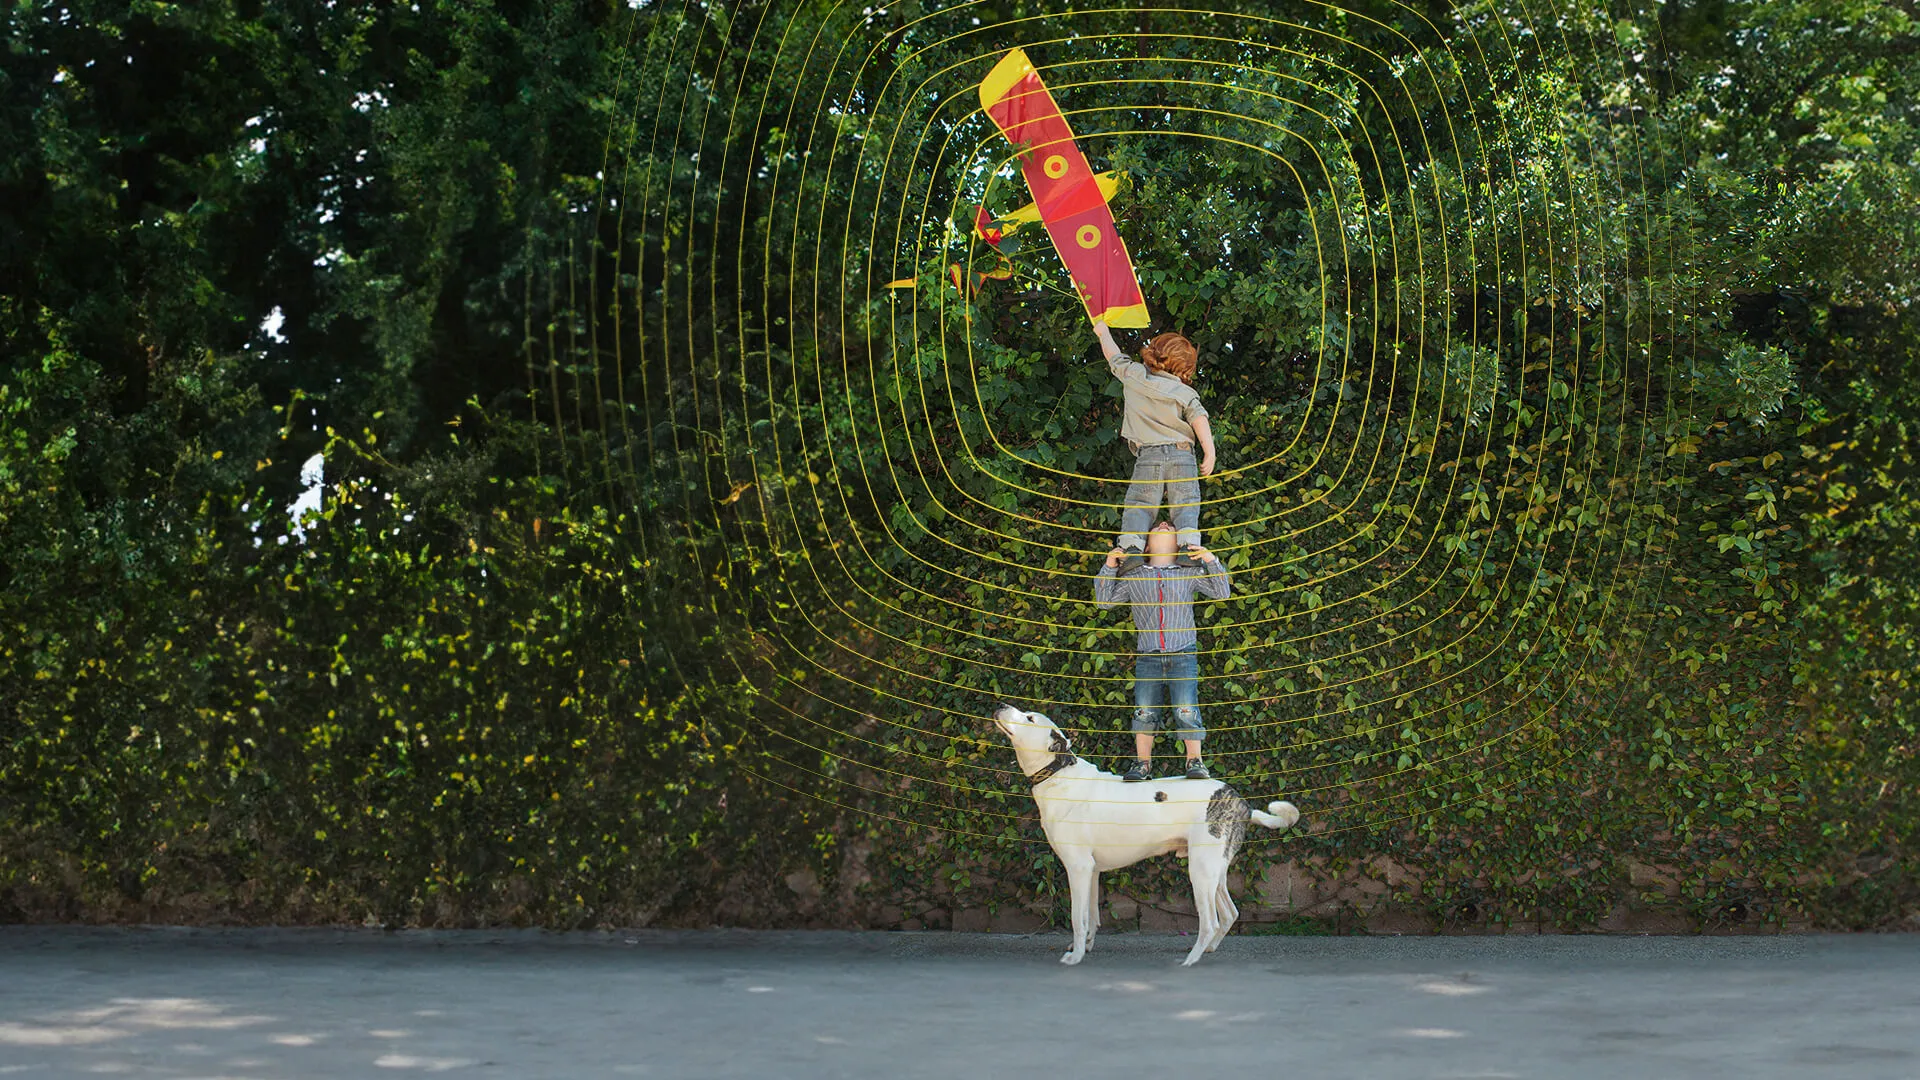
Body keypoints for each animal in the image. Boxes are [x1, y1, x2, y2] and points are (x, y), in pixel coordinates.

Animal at [990, 703, 1305, 960]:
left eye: (1030, 718)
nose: (1001, 704)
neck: (1059, 774)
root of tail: (1241, 803)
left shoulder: (1077, 868)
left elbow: (1077, 918)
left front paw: (1076, 955)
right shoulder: (1091, 871)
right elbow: (1091, 917)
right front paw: (1087, 946)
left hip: (1201, 870)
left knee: (1213, 920)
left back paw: (1193, 957)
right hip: (1215, 870)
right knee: (1229, 913)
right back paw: (1209, 949)